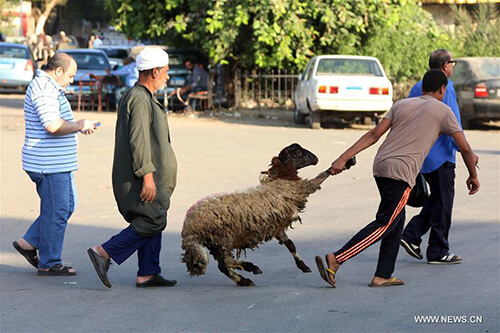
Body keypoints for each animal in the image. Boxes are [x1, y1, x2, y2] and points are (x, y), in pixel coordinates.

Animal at [180, 143, 356, 286]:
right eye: (298, 152)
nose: (316, 159)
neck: (281, 179)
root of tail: (189, 228)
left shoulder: (277, 225)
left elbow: (290, 244)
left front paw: (303, 266)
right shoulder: (301, 190)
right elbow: (320, 177)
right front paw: (345, 164)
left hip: (214, 243)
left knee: (223, 266)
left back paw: (244, 280)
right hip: (223, 238)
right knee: (226, 262)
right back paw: (251, 268)